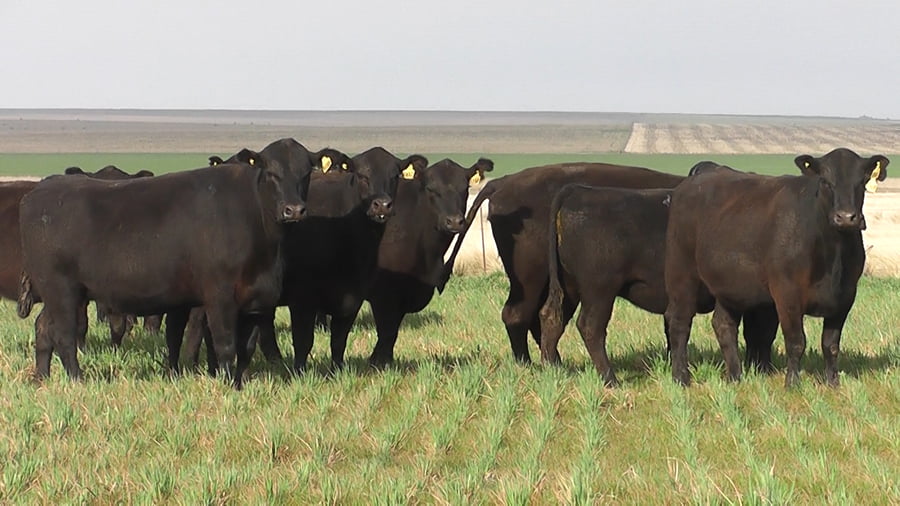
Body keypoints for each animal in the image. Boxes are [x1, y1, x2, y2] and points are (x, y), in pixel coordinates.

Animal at [18, 138, 315, 388]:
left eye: (306, 173)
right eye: (272, 173)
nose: (293, 209)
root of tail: (40, 191)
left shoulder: (256, 301)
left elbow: (246, 348)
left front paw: (240, 383)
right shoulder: (219, 297)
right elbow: (226, 346)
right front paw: (229, 386)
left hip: (62, 293)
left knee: (43, 328)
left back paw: (41, 377)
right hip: (60, 288)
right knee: (64, 335)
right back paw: (77, 380)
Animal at [366, 157, 494, 366]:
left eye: (465, 188)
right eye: (431, 189)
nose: (454, 221)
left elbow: (392, 332)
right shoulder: (384, 293)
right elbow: (387, 332)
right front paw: (379, 363)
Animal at [440, 162, 685, 363]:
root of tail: (504, 182)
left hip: (558, 285)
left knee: (543, 319)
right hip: (530, 279)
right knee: (518, 315)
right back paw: (529, 364)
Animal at [539, 184, 779, 386]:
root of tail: (579, 190)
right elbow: (762, 332)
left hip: (570, 289)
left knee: (552, 318)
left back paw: (553, 371)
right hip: (600, 291)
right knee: (590, 326)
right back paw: (611, 379)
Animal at [664, 148, 888, 387]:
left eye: (862, 181)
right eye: (825, 181)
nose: (846, 217)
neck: (832, 257)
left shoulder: (845, 296)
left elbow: (831, 345)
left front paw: (833, 383)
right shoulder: (787, 293)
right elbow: (796, 342)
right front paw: (792, 384)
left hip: (730, 286)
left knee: (723, 325)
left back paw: (735, 376)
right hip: (682, 275)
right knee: (679, 323)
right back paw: (681, 377)